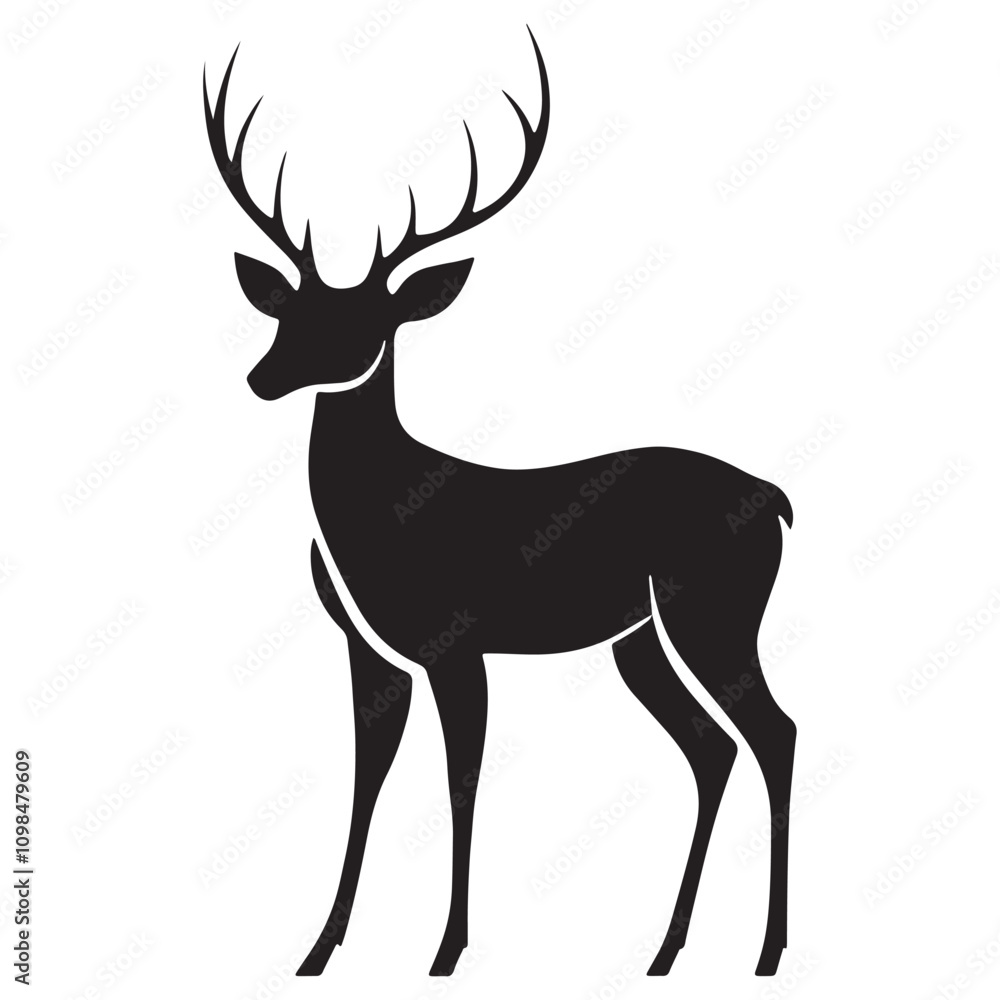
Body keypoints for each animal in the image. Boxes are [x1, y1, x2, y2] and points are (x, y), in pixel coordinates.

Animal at [204, 26, 796, 980]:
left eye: (366, 322)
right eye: (288, 313)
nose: (261, 378)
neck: (385, 519)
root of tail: (777, 498)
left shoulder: (457, 643)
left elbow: (461, 781)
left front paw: (446, 951)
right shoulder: (367, 648)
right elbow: (367, 778)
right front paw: (319, 948)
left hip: (715, 611)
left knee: (772, 733)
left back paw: (769, 951)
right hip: (641, 640)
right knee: (711, 749)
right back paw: (664, 950)